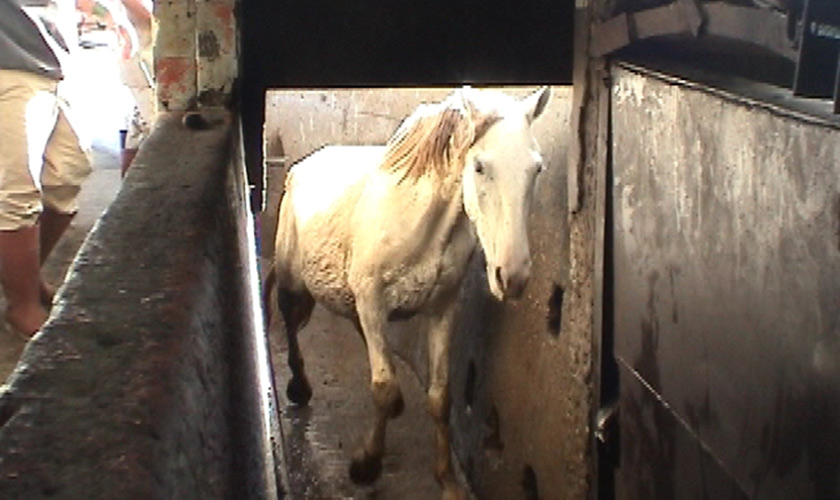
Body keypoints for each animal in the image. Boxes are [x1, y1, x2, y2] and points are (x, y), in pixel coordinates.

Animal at [264, 86, 550, 499]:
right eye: (480, 167)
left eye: (536, 168)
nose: (512, 276)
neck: (422, 222)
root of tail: (301, 166)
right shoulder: (372, 302)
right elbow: (383, 388)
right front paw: (366, 465)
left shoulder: (442, 309)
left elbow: (439, 397)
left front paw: (447, 480)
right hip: (292, 282)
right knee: (288, 322)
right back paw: (299, 387)